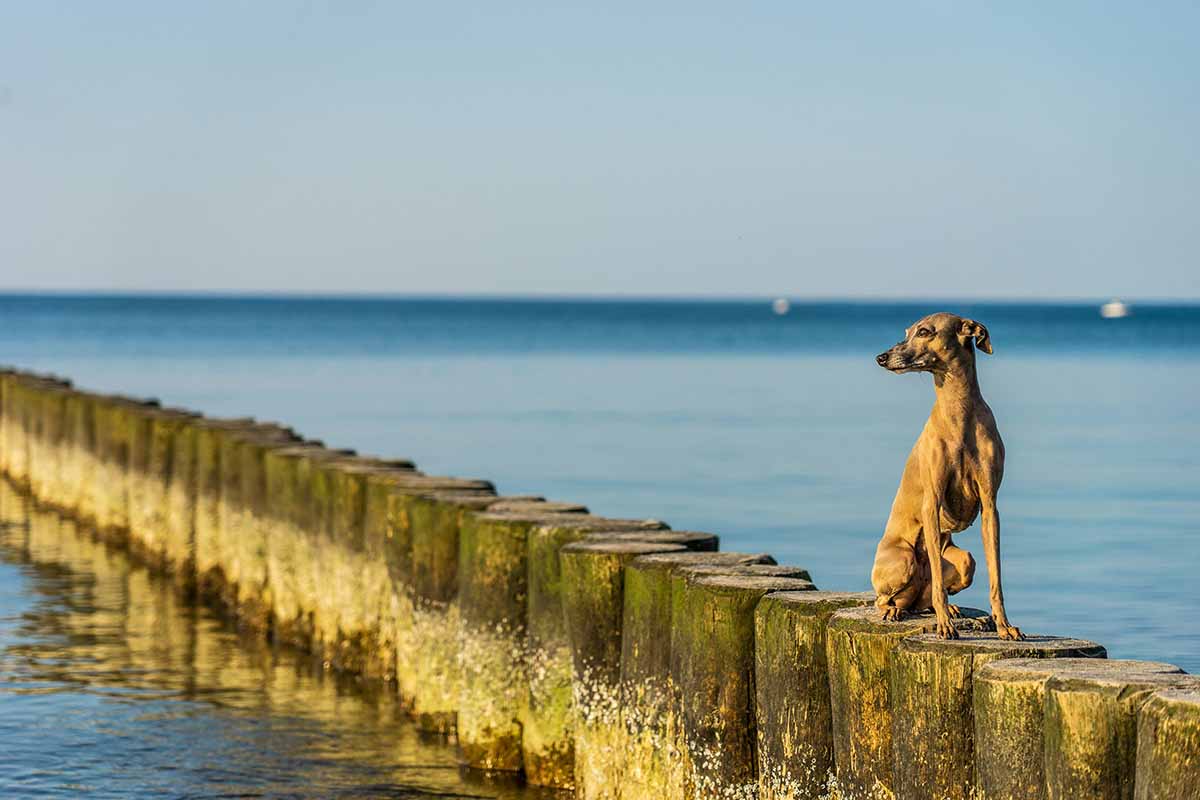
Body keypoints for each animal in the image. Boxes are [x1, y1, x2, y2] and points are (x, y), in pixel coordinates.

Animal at [868, 309, 1027, 642]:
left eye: (925, 331)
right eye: (908, 331)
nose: (881, 357)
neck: (959, 413)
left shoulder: (990, 505)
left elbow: (996, 576)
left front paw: (1004, 626)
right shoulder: (932, 502)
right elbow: (941, 586)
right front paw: (944, 626)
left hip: (963, 560)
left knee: (925, 597)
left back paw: (945, 609)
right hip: (902, 559)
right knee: (886, 599)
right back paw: (896, 611)